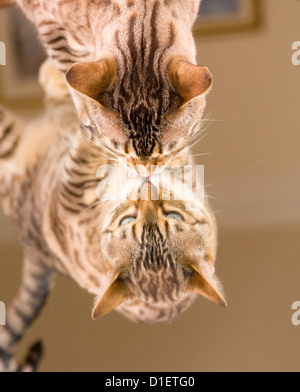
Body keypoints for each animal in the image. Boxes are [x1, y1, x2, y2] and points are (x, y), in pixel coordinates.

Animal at [0, 59, 225, 372]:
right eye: (128, 221)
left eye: (173, 216)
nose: (147, 188)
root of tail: (34, 250)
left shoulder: (73, 188)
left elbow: (94, 139)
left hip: (10, 144)